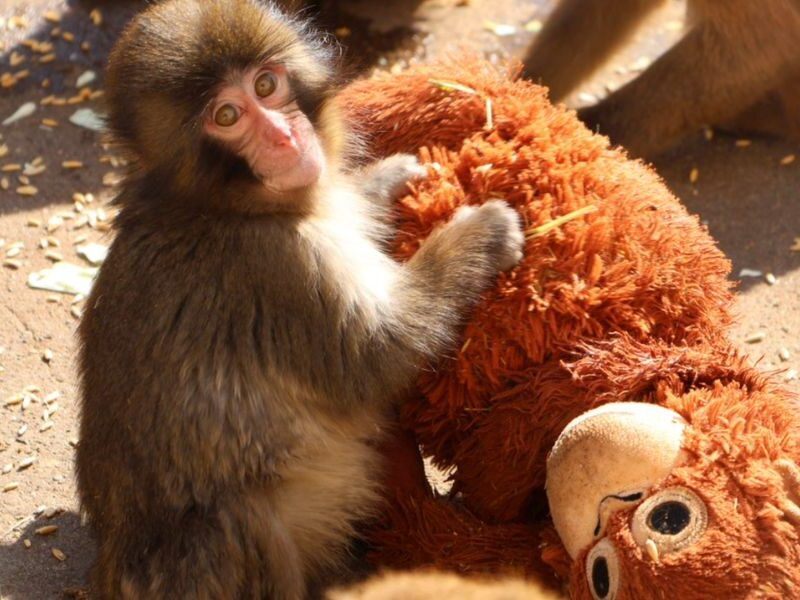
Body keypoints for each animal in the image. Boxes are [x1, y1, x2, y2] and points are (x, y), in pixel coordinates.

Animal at [75, 0, 524, 598]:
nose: (285, 138)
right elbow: (376, 356)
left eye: (266, 85)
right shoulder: (278, 267)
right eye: (227, 116)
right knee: (236, 520)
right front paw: (481, 233)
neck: (222, 205)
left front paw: (386, 179)